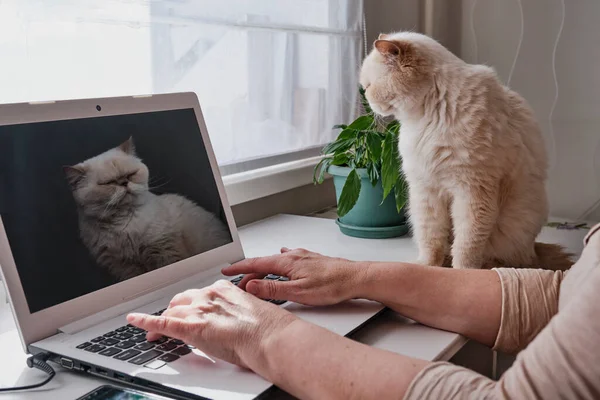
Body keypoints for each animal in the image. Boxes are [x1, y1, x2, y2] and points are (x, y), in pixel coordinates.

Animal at [358, 30, 568, 268]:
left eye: (368, 86)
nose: (366, 99)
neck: (424, 120)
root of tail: (534, 250)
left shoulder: (472, 192)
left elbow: (466, 247)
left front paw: (461, 272)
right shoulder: (426, 191)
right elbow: (431, 241)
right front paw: (427, 267)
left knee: (502, 258)